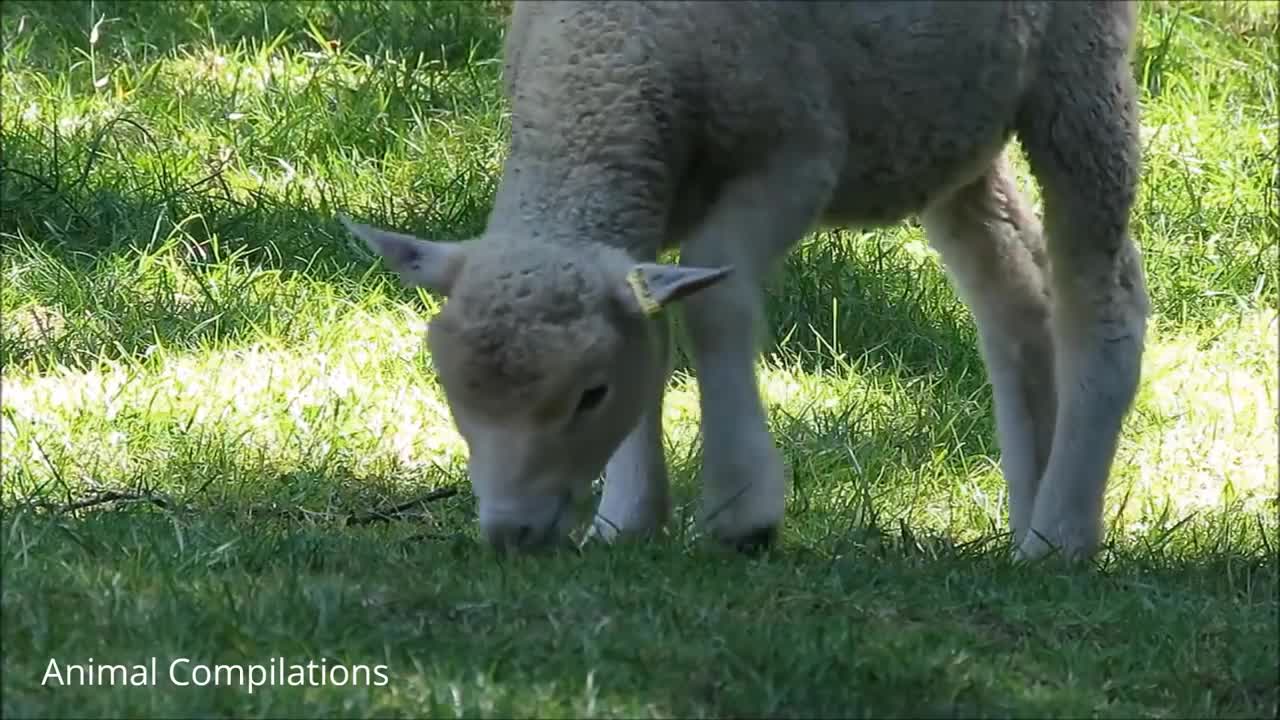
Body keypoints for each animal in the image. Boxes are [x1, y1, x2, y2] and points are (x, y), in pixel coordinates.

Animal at [340, 0, 1152, 561]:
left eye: (589, 396)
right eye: (449, 390)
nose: (509, 535)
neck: (604, 62)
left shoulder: (797, 155)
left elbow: (717, 301)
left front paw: (740, 511)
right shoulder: (656, 188)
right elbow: (653, 330)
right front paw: (629, 517)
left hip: (1079, 67)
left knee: (1104, 293)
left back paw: (1060, 533)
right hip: (951, 123)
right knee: (1014, 291)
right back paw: (1028, 507)